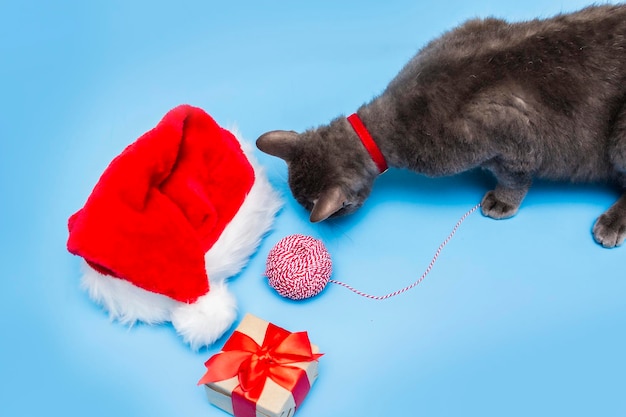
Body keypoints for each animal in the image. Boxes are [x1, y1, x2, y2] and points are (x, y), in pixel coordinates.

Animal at [256, 4, 624, 247]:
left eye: (313, 208)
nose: (312, 218)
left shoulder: (512, 132)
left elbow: (515, 176)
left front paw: (502, 201)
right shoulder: (476, 25)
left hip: (619, 138)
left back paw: (611, 224)